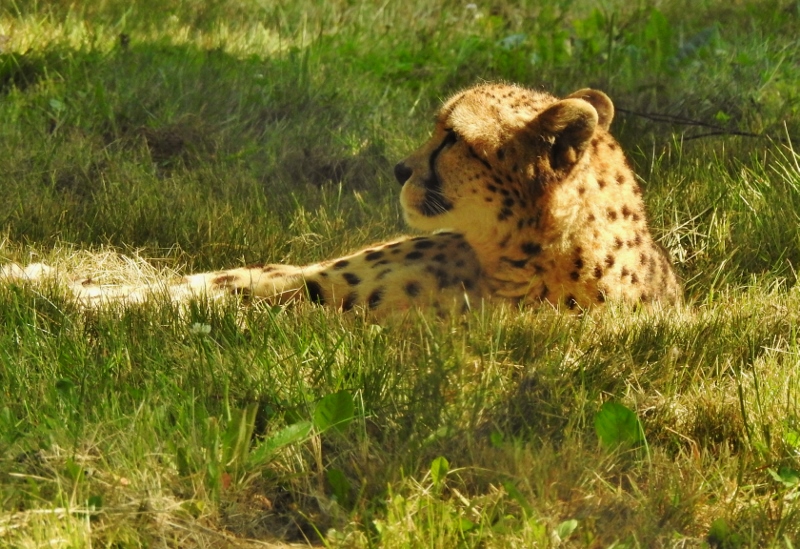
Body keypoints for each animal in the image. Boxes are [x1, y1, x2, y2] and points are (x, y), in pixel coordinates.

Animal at [2, 83, 681, 313]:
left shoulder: (316, 297)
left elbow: (176, 293)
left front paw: (39, 287)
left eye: (453, 138)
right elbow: (172, 283)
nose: (399, 167)